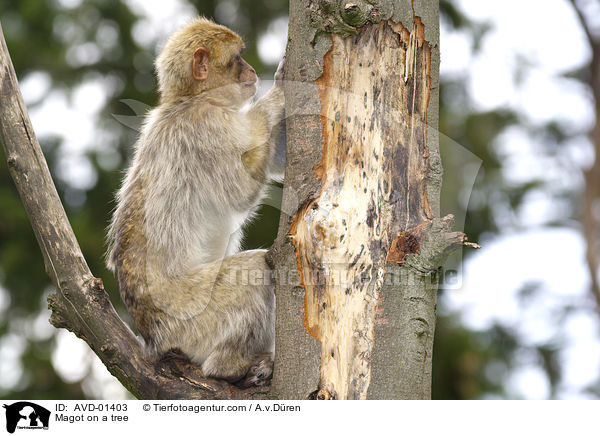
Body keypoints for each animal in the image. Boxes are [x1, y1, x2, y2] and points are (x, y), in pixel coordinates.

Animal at [106, 17, 284, 386]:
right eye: (237, 58)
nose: (251, 71)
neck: (190, 100)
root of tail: (153, 339)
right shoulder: (206, 127)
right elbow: (241, 192)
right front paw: (285, 89)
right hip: (192, 317)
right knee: (255, 269)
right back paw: (229, 366)